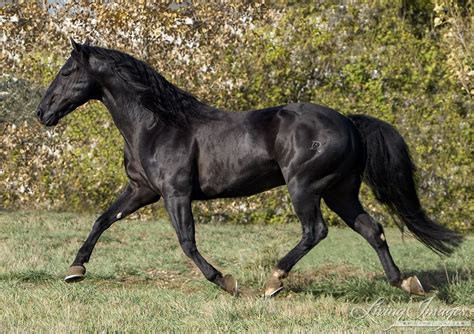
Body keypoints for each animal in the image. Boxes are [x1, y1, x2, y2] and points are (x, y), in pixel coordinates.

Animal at [36, 39, 462, 298]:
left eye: (66, 72)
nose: (42, 113)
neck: (157, 125)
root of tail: (349, 122)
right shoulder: (142, 190)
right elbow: (103, 220)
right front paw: (75, 269)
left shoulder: (175, 192)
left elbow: (187, 241)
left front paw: (225, 281)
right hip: (340, 191)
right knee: (372, 230)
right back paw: (405, 283)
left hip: (305, 187)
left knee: (316, 231)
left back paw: (274, 282)